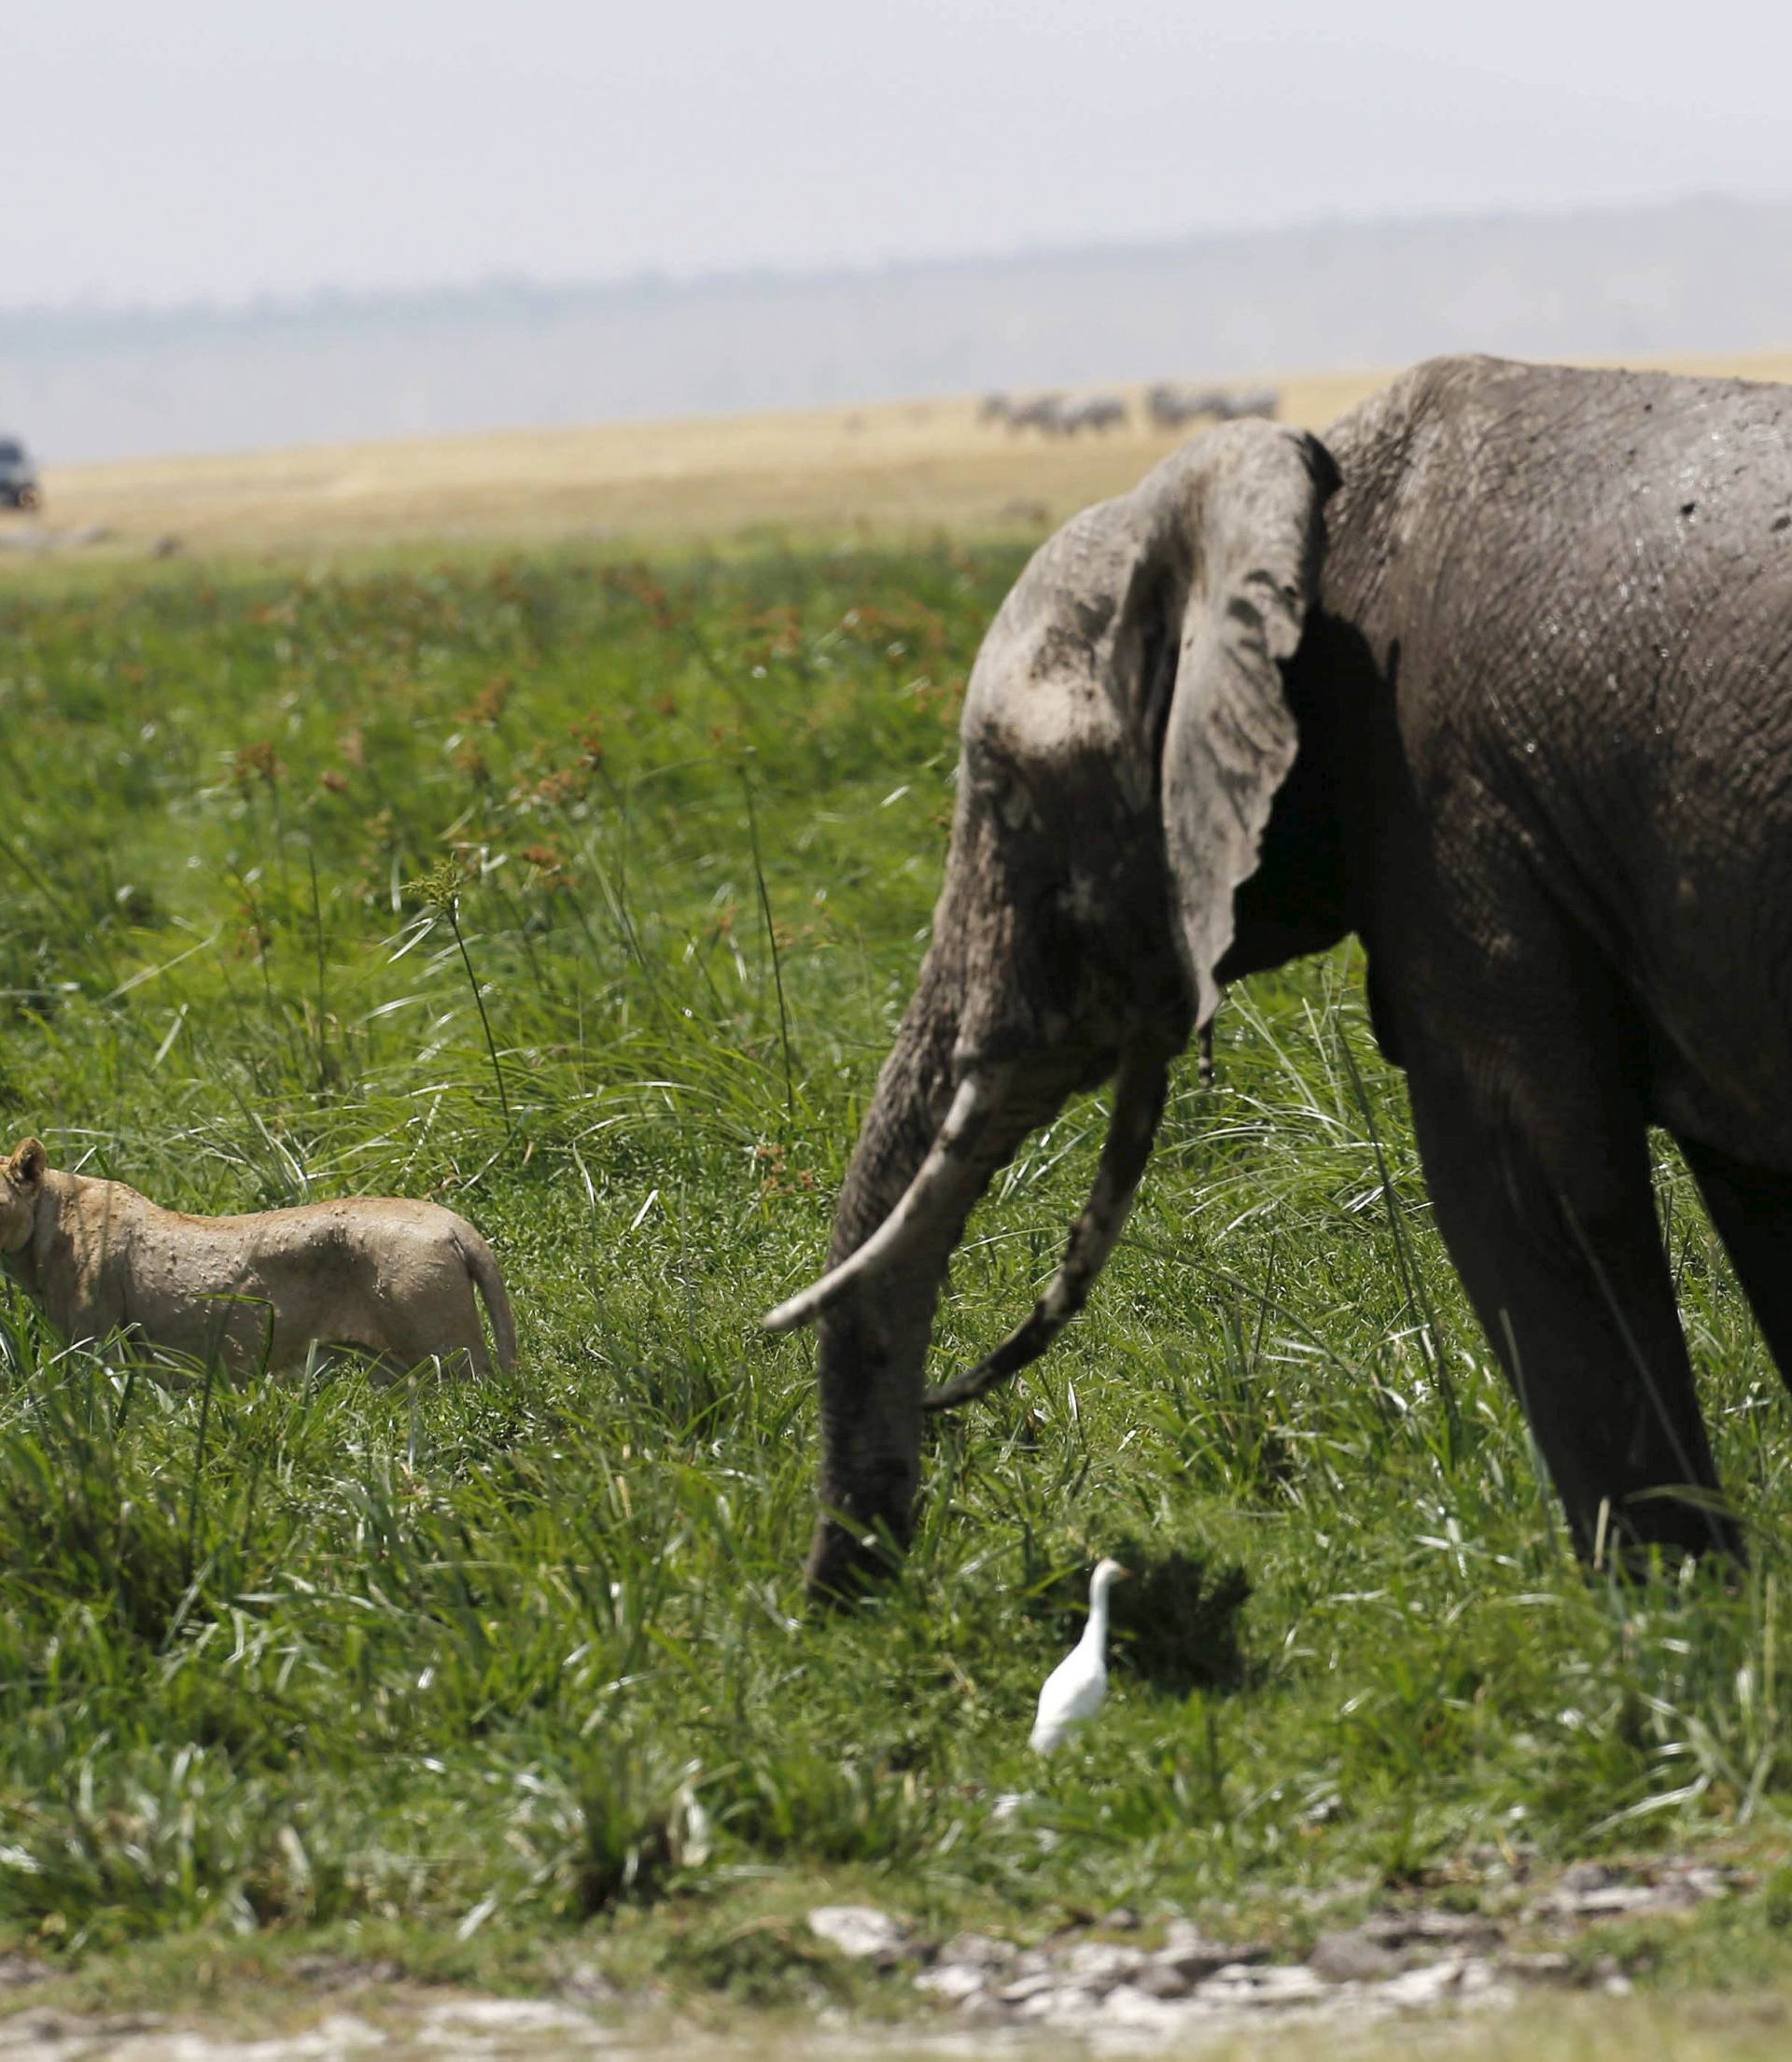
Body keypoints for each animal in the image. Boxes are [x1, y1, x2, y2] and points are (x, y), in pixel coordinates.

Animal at [763, 354, 1789, 1592]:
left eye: (1007, 794)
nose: (838, 1599)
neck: (1297, 498)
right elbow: (1758, 1189)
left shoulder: (1459, 820)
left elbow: (1520, 1184)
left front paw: (1675, 1619)